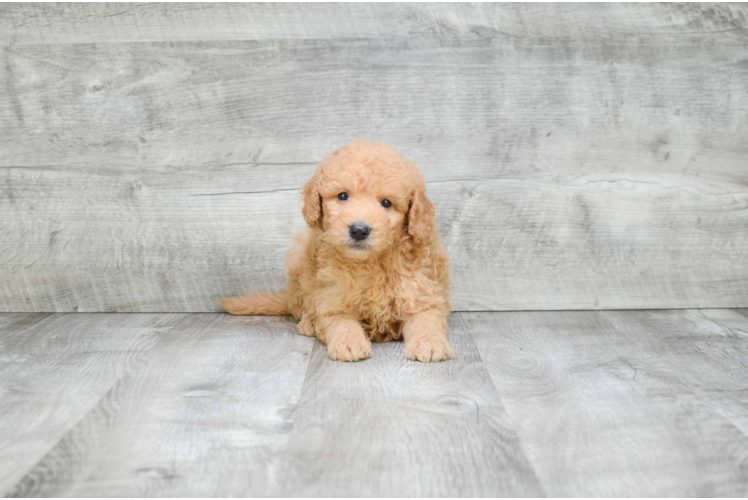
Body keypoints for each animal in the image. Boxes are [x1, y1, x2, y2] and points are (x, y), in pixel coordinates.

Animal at [219, 139, 452, 362]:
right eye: (342, 196)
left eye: (386, 203)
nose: (359, 230)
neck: (370, 263)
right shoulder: (333, 297)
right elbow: (340, 321)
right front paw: (349, 343)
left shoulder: (421, 292)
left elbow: (426, 319)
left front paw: (430, 344)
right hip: (298, 265)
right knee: (301, 307)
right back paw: (309, 322)